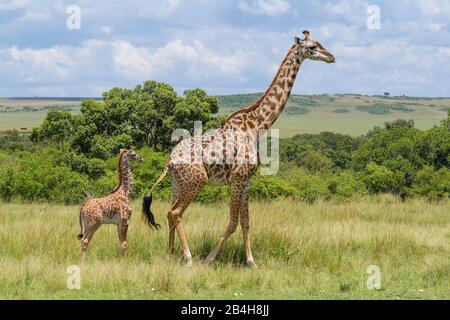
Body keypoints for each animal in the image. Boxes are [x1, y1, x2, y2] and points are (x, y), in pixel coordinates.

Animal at [142, 30, 336, 266]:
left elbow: (246, 222)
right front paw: (210, 258)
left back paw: (171, 253)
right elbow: (233, 222)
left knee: (169, 212)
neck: (257, 126)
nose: (331, 57)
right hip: (197, 181)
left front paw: (251, 261)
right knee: (175, 212)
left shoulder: (246, 181)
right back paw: (188, 257)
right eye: (312, 47)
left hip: (177, 184)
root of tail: (169, 161)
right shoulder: (237, 178)